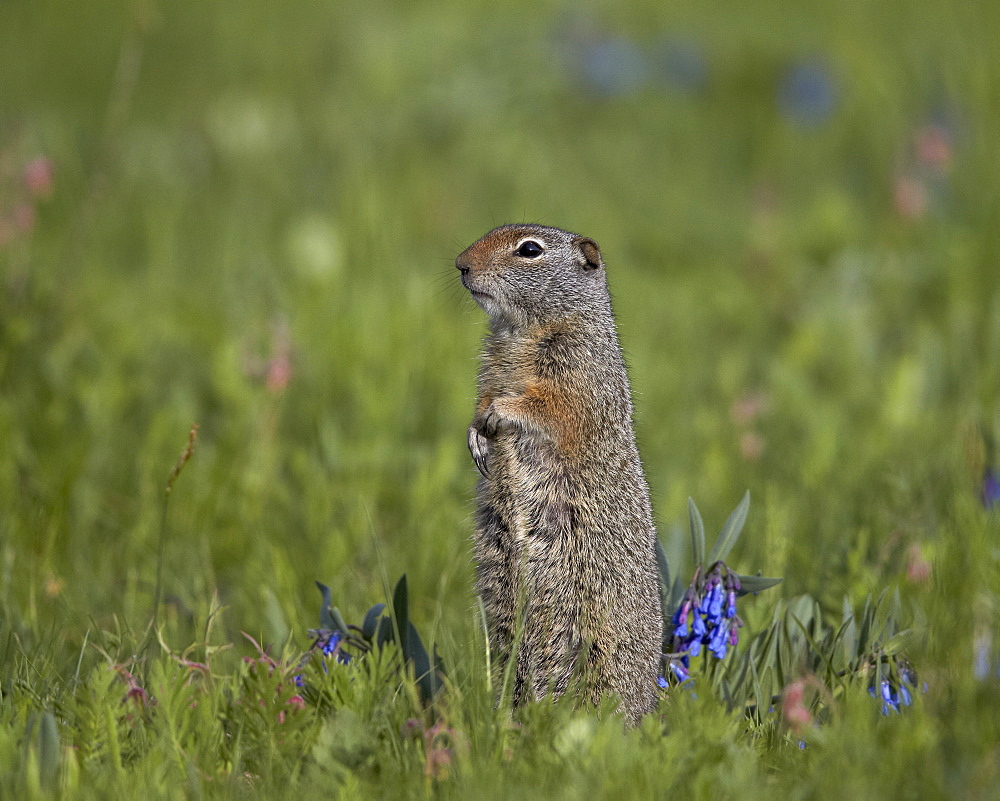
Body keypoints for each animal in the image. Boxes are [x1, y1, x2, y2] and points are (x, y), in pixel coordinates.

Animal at [456, 220, 660, 724]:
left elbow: (550, 406)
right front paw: (475, 435)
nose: (461, 264)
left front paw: (500, 414)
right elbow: (481, 400)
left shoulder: (576, 367)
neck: (521, 331)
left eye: (530, 250)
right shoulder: (489, 368)